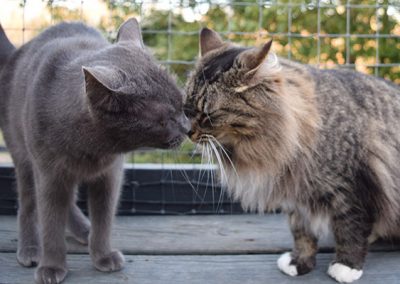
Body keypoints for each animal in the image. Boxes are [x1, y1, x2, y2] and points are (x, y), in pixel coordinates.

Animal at [0, 18, 190, 282]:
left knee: (67, 201)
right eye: (165, 120)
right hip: (22, 153)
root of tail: (15, 54)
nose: (187, 127)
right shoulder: (48, 172)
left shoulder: (110, 174)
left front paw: (103, 255)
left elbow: (104, 218)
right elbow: (50, 220)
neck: (91, 147)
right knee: (29, 202)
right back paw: (30, 248)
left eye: (182, 105)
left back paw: (83, 229)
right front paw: (52, 267)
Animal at [185, 28, 400, 282]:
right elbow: (302, 234)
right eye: (186, 108)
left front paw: (346, 266)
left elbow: (350, 230)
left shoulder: (352, 187)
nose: (187, 131)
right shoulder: (296, 194)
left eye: (207, 115)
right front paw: (299, 263)